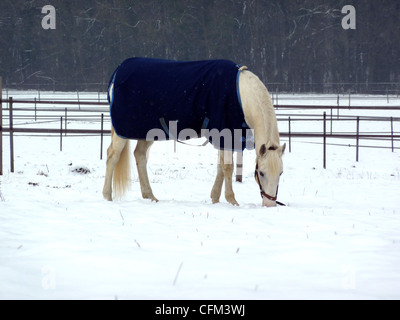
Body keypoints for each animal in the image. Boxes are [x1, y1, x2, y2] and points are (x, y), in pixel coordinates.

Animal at [103, 57, 284, 208]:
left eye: (281, 173)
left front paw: (215, 198)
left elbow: (221, 166)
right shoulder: (225, 133)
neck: (242, 95)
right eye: (261, 173)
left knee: (139, 155)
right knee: (113, 155)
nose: (269, 204)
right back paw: (107, 196)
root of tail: (117, 74)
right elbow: (227, 167)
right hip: (122, 131)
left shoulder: (227, 137)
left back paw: (150, 196)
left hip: (147, 131)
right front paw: (232, 201)